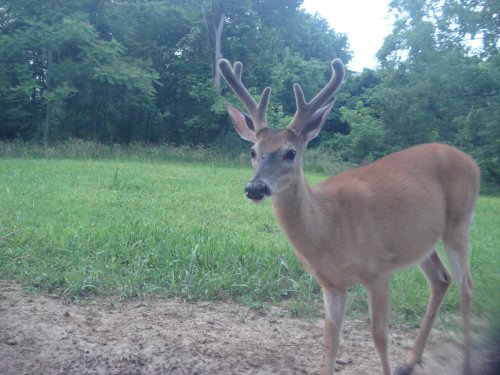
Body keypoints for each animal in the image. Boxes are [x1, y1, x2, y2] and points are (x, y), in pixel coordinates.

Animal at [219, 56, 480, 375]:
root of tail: (472, 163)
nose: (255, 187)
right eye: (253, 150)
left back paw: (466, 362)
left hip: (459, 221)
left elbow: (380, 337)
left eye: (291, 153)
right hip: (423, 240)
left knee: (466, 286)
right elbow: (331, 340)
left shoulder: (378, 269)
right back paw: (410, 361)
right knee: (441, 280)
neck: (330, 228)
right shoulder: (330, 283)